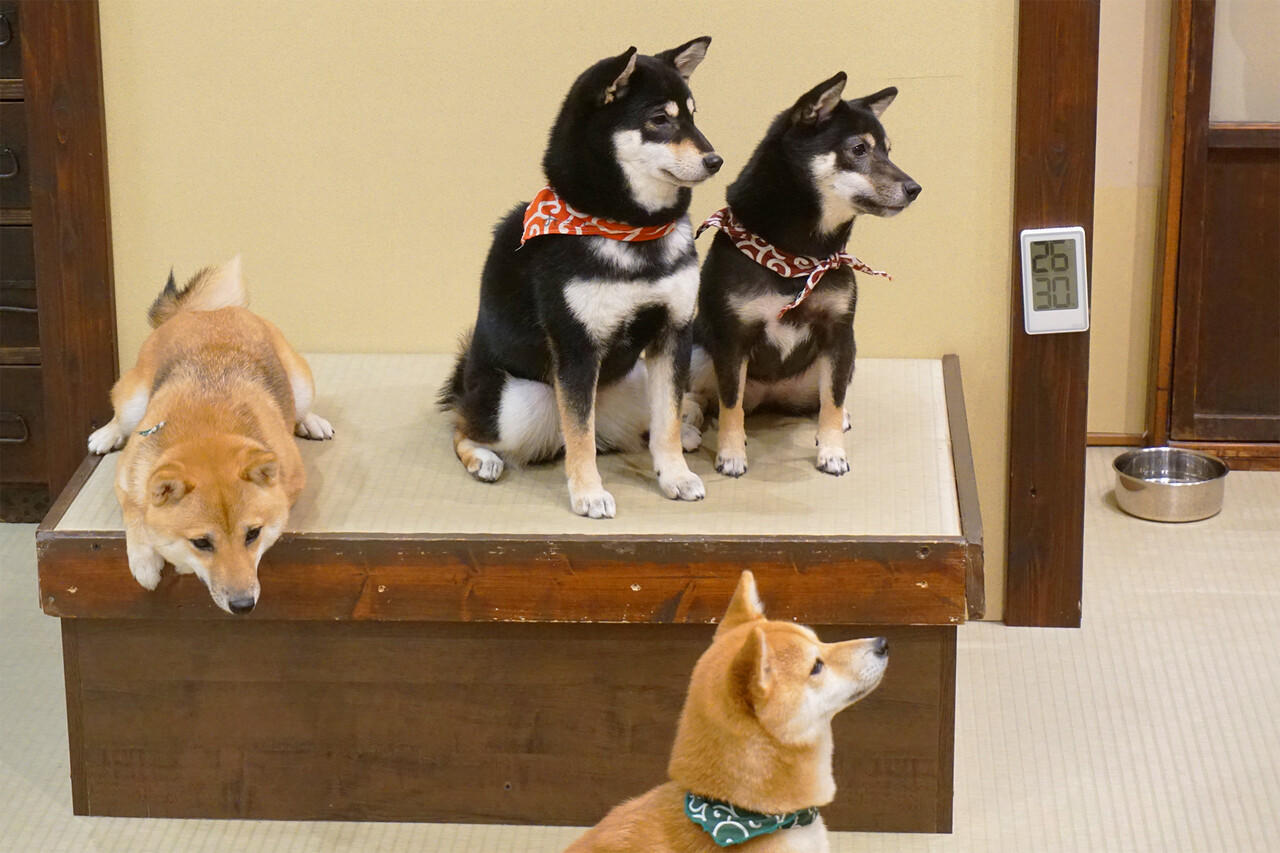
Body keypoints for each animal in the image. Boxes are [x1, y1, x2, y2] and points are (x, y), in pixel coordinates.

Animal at [85, 256, 332, 614]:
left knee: (302, 408)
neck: (208, 428)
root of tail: (207, 311)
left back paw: (312, 422)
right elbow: (135, 512)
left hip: (300, 382)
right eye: (201, 543)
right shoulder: (127, 477)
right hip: (133, 402)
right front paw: (145, 561)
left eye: (253, 534)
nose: (243, 605)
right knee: (120, 414)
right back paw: (105, 434)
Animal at [437, 38, 721, 517]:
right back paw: (482, 458)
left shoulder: (673, 332)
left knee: (647, 423)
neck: (629, 228)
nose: (715, 160)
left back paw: (683, 432)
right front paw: (588, 493)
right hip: (523, 403)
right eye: (659, 120)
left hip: (636, 377)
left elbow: (665, 419)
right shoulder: (576, 346)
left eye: (694, 116)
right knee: (466, 427)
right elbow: (579, 438)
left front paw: (676, 476)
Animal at [691, 73, 921, 479]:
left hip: (842, 359)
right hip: (700, 352)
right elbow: (731, 403)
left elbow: (832, 401)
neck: (800, 255)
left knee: (828, 396)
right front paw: (731, 454)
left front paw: (832, 452)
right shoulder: (732, 340)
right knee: (708, 400)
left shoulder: (838, 334)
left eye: (888, 151)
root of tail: (773, 395)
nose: (914, 188)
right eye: (859, 149)